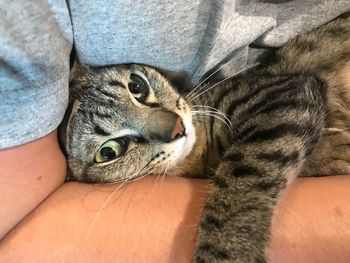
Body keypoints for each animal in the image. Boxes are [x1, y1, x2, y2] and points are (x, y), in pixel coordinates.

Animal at [60, 12, 350, 263]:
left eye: (137, 86)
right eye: (109, 152)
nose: (176, 127)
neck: (201, 152)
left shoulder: (280, 94)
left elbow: (239, 185)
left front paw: (228, 253)